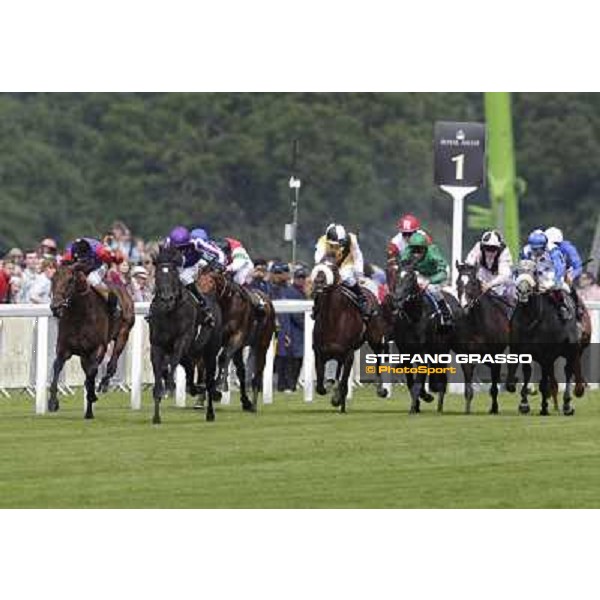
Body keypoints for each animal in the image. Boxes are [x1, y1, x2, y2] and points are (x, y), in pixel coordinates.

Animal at [49, 262, 135, 418]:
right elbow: (57, 367)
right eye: (53, 279)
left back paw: (103, 384)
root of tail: (124, 289)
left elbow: (91, 373)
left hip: (123, 333)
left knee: (112, 364)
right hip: (84, 355)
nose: (55, 307)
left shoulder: (99, 348)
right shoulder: (63, 348)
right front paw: (52, 402)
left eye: (70, 280)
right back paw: (89, 412)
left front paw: (92, 394)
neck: (80, 315)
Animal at [149, 248, 224, 426]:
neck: (170, 312)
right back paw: (195, 388)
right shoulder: (157, 345)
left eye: (174, 274)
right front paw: (156, 417)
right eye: (157, 275)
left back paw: (210, 413)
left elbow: (172, 362)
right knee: (191, 377)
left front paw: (169, 387)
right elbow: (159, 376)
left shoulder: (182, 342)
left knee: (209, 382)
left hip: (209, 352)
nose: (167, 299)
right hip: (190, 356)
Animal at [200, 268, 278, 412]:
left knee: (258, 372)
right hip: (240, 348)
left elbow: (223, 358)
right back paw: (246, 401)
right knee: (241, 370)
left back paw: (253, 404)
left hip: (262, 344)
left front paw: (218, 389)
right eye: (197, 282)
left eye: (210, 284)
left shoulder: (237, 336)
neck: (228, 305)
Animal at [310, 258, 390, 412]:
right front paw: (332, 391)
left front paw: (339, 401)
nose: (318, 282)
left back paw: (380, 388)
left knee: (378, 356)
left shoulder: (349, 354)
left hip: (375, 338)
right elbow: (321, 386)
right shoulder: (319, 353)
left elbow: (343, 383)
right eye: (317, 267)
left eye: (333, 268)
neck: (333, 320)